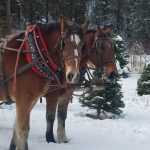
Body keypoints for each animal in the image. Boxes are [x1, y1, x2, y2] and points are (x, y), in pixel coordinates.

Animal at [0, 17, 88, 150]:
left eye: (82, 45)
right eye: (64, 43)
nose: (73, 75)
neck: (33, 56)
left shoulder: (32, 99)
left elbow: (17, 128)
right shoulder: (24, 99)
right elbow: (23, 129)